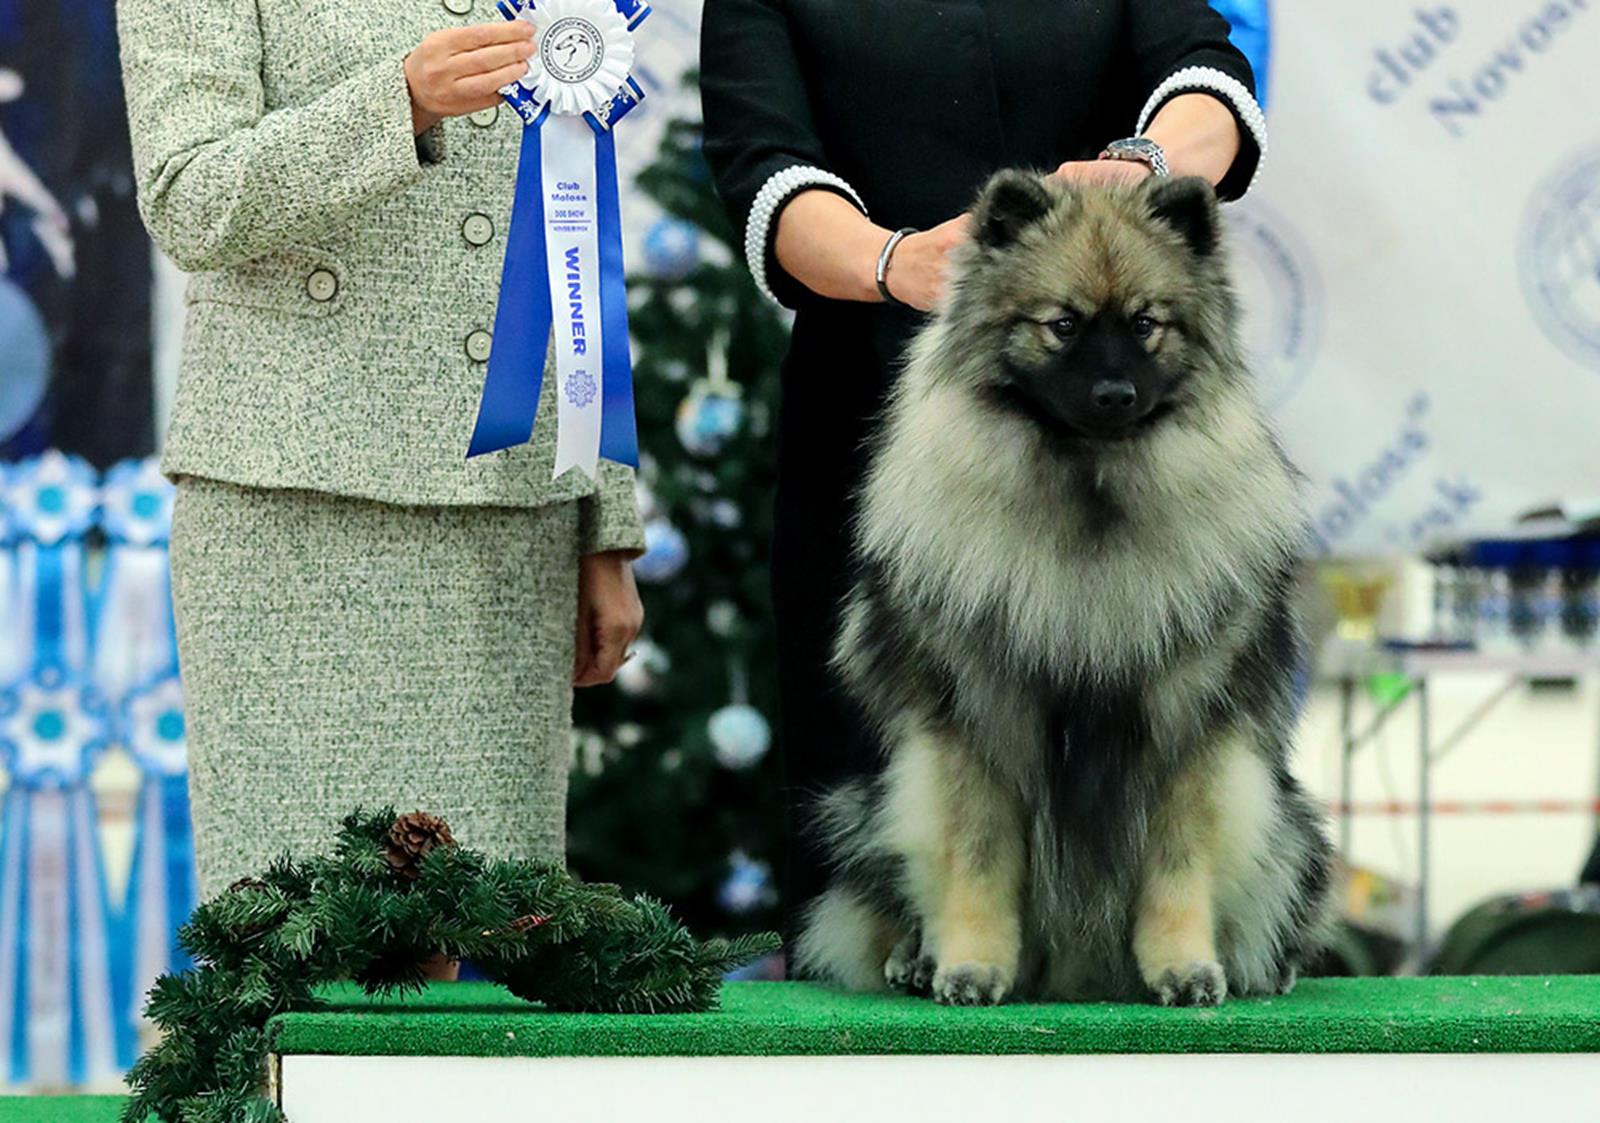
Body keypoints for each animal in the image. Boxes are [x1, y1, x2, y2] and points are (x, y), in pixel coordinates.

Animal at [800, 173, 1337, 1011]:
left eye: (1146, 324)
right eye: (1062, 324)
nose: (1115, 393)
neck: (1089, 497)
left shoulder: (1191, 730)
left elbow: (1178, 866)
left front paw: (1184, 965)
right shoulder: (974, 726)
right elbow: (978, 860)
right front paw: (971, 965)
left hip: (1296, 823)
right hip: (865, 807)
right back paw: (915, 958)